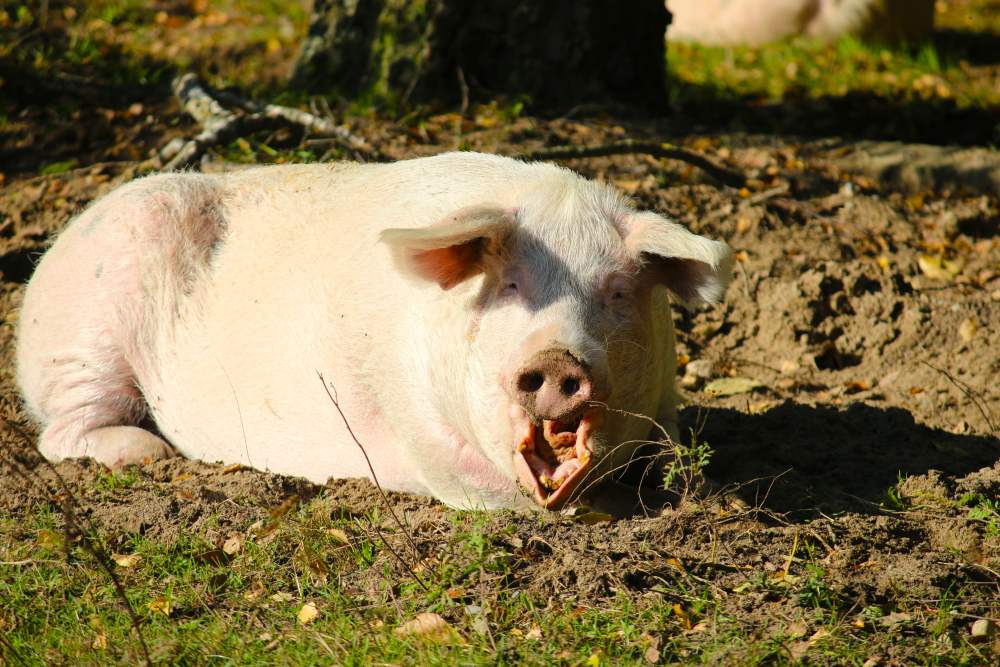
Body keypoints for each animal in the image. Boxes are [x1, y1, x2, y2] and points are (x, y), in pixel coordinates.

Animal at [13, 153, 736, 512]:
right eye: (509, 287)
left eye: (616, 293)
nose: (559, 358)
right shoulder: (408, 418)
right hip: (83, 335)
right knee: (61, 432)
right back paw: (151, 454)